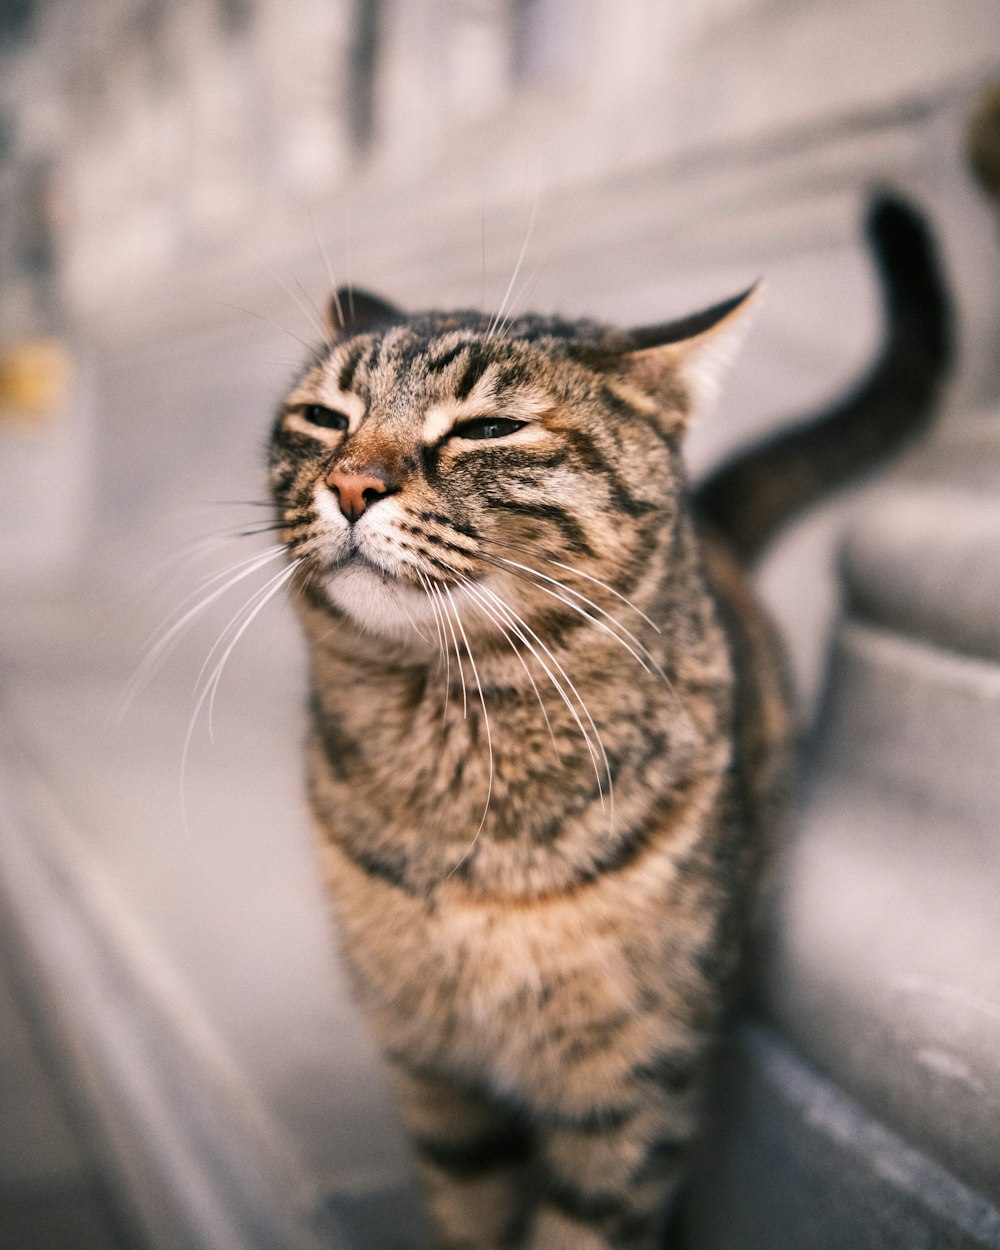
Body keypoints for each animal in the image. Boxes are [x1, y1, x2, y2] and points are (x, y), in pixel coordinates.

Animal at [267, 187, 955, 1250]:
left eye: (489, 426)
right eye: (321, 416)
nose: (348, 484)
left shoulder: (634, 1085)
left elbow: (586, 1223)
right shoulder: (434, 1074)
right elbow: (467, 1210)